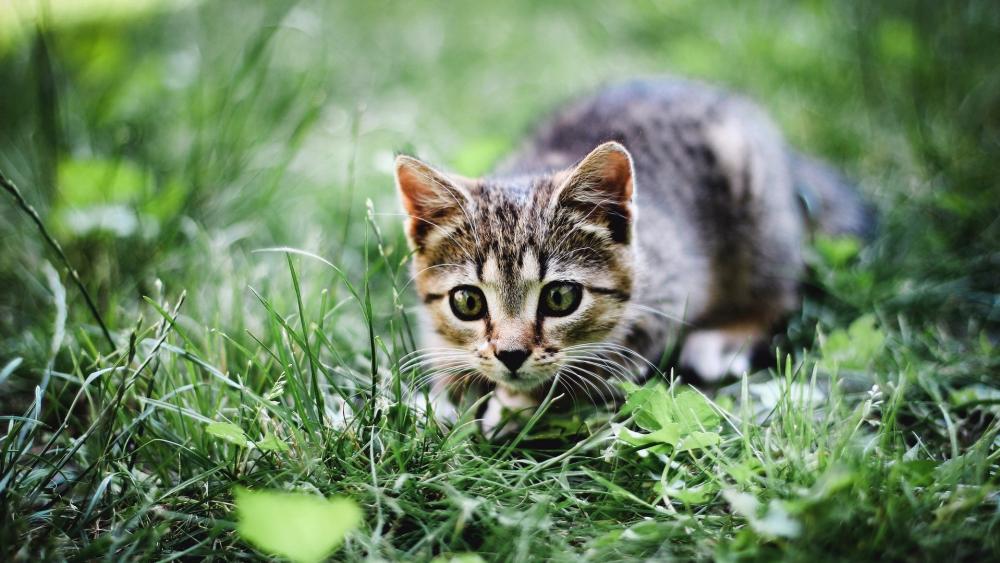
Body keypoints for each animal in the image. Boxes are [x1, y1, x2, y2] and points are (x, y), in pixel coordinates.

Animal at [394, 77, 872, 434]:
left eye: (560, 298)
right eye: (467, 302)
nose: (511, 355)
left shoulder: (662, 304)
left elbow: (586, 374)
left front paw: (514, 405)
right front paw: (441, 399)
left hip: (760, 231)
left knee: (779, 295)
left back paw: (721, 341)